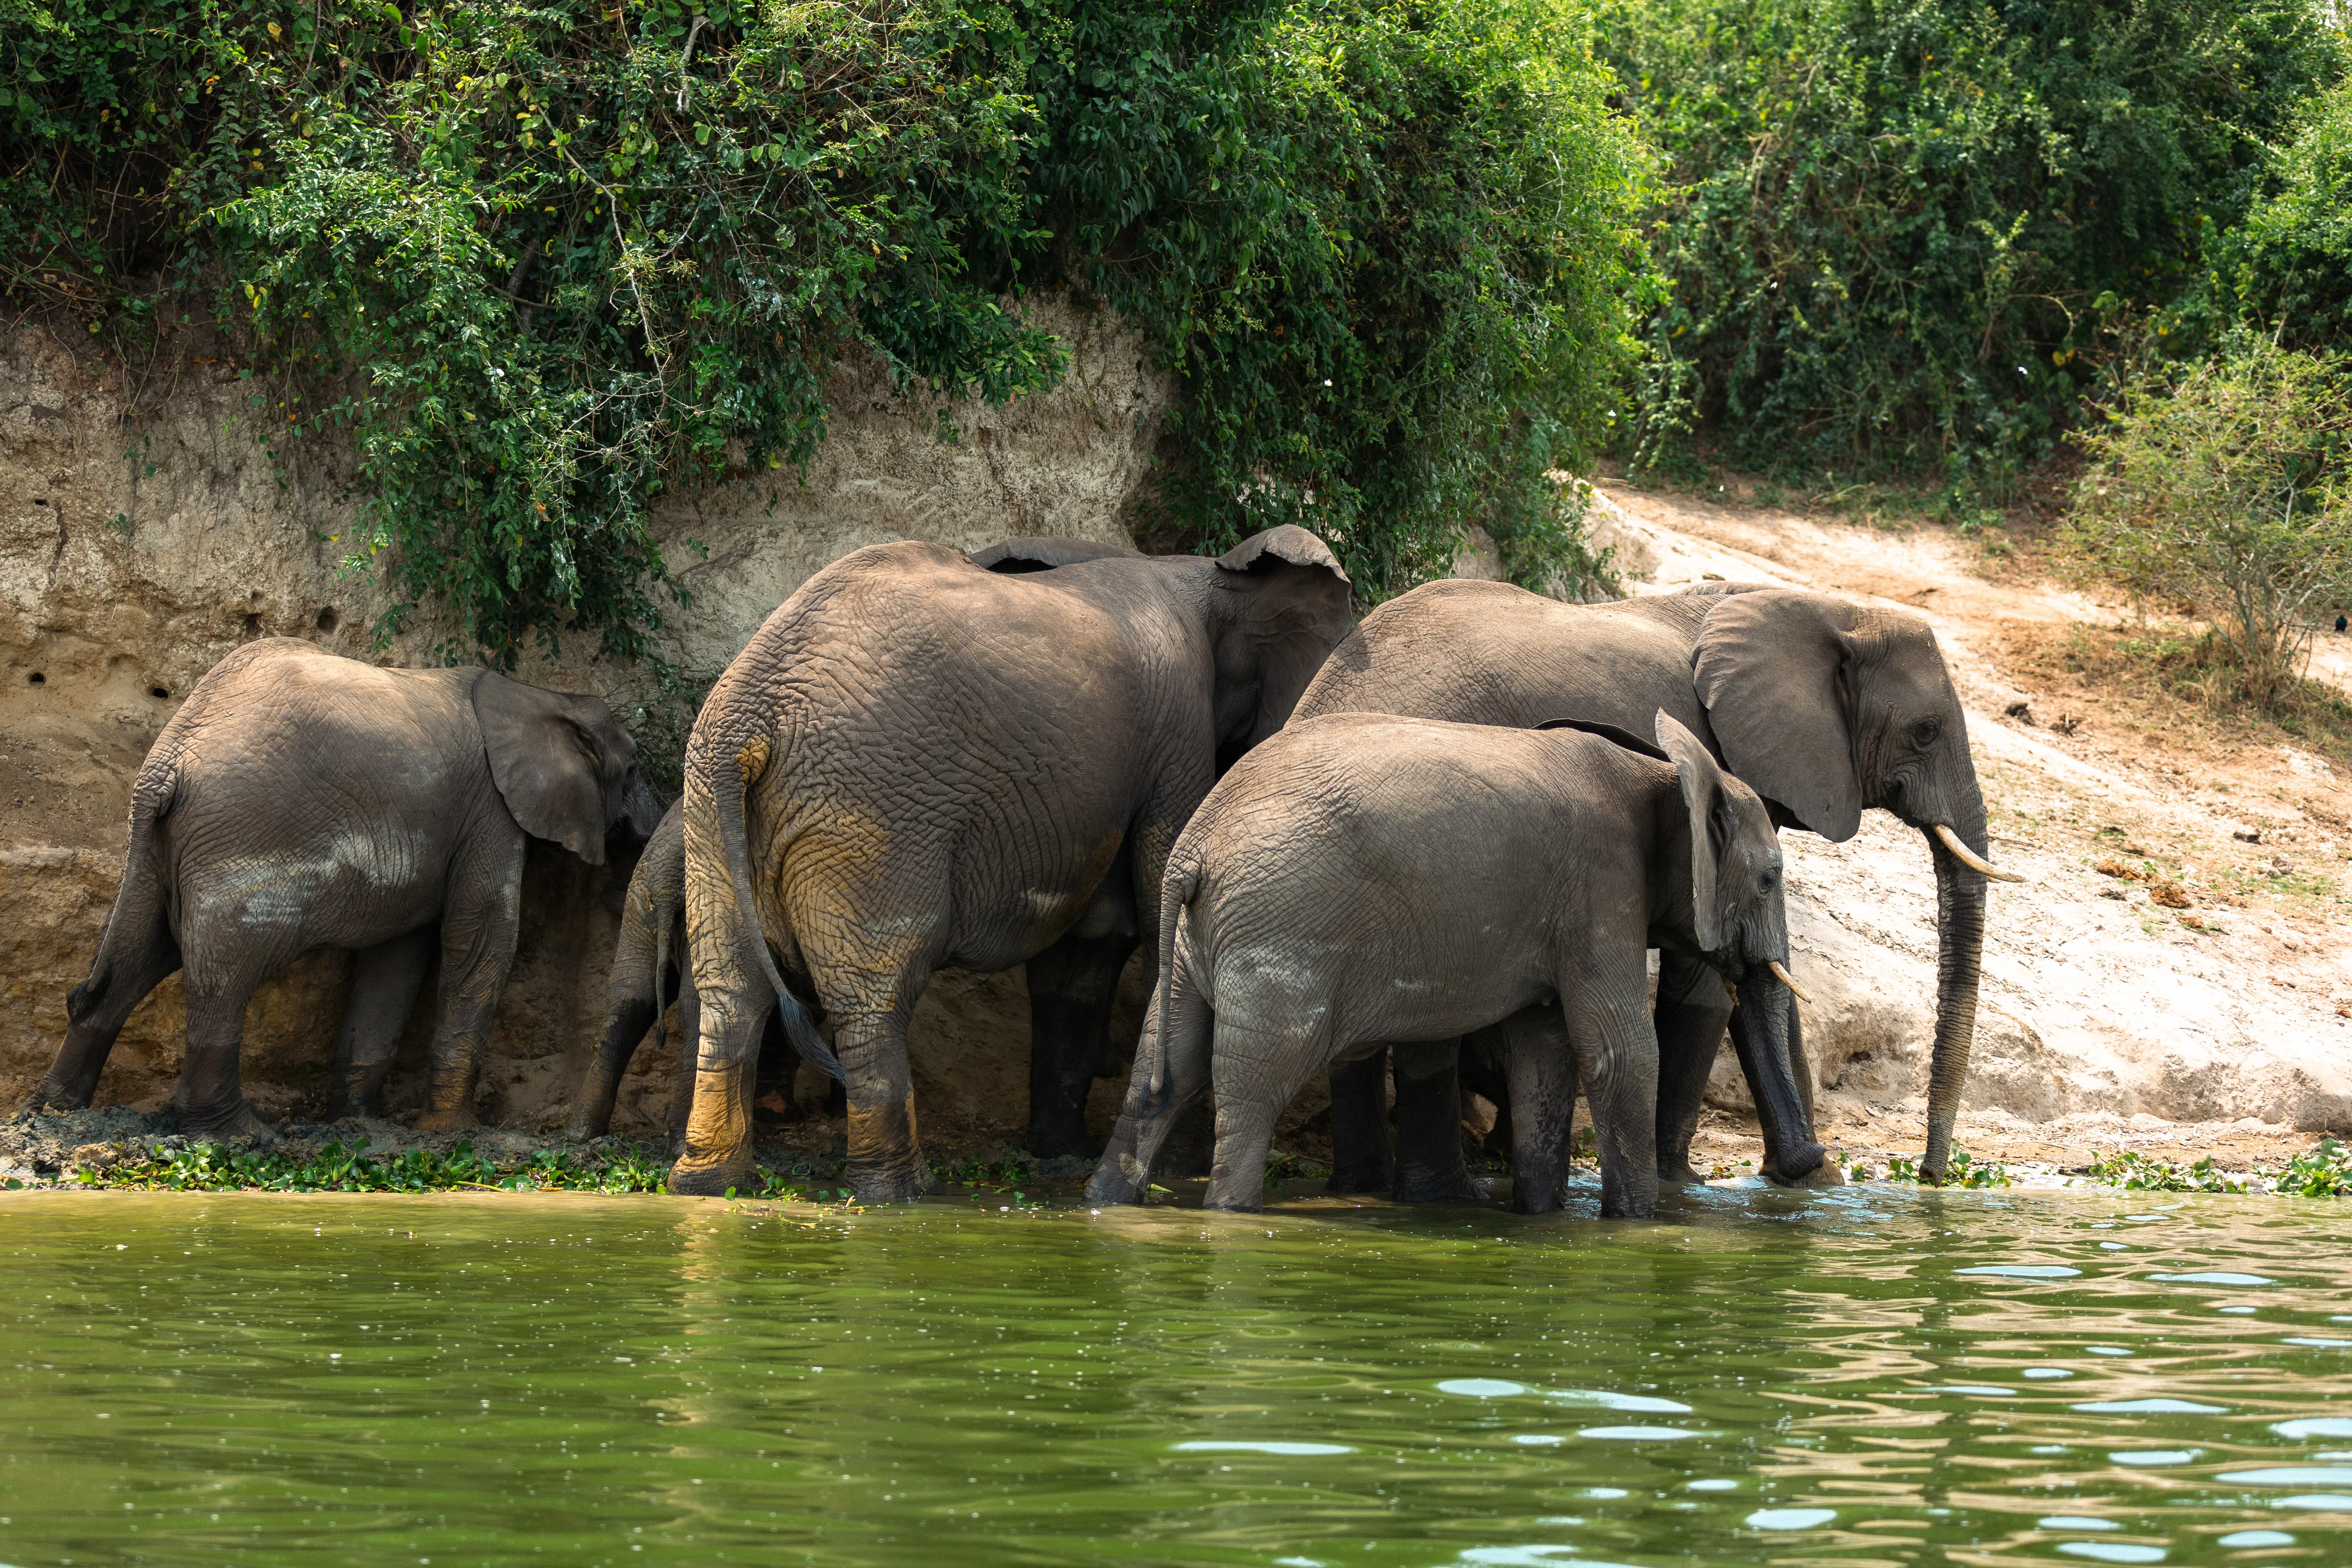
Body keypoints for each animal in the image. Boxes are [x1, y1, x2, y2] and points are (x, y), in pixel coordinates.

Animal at [32, 639, 668, 1142]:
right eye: (634, 769)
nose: (640, 834)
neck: (539, 695)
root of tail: (169, 760)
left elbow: (398, 957)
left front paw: (360, 1124)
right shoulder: (489, 810)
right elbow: (479, 938)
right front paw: (451, 1130)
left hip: (152, 849)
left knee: (130, 962)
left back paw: (56, 1113)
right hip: (241, 838)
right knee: (223, 978)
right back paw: (239, 1134)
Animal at [673, 526, 1354, 1203]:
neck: (1201, 573)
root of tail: (749, 717)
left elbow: (1082, 956)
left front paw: (1063, 1155)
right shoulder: (1178, 730)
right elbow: (1154, 914)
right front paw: (1177, 1169)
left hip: (712, 813)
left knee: (732, 991)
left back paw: (708, 1183)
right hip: (871, 812)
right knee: (874, 990)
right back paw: (899, 1192)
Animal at [1082, 715, 1815, 1222]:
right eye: (1770, 880)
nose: (1803, 1165)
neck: (1664, 775)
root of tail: (1195, 848)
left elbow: (1544, 1054)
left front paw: (1541, 1218)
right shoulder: (1601, 890)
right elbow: (1619, 1051)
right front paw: (1637, 1227)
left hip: (1196, 940)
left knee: (1165, 1071)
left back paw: (1104, 1203)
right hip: (1281, 926)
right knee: (1255, 1087)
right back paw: (1227, 1215)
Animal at [1289, 581, 2022, 1189]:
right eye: (1925, 733)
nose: (1930, 1177)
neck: (1824, 608)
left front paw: (1807, 1186)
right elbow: (1714, 977)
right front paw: (1695, 1185)